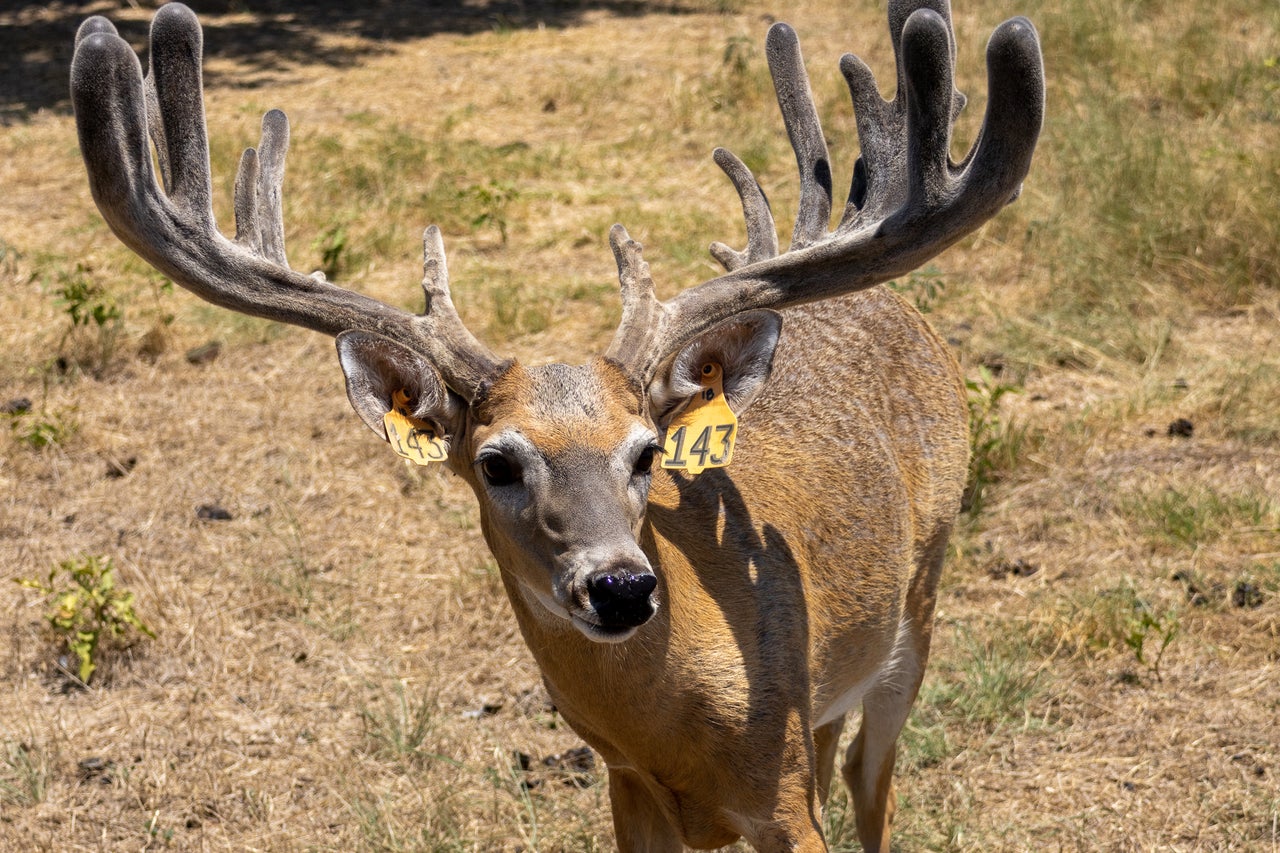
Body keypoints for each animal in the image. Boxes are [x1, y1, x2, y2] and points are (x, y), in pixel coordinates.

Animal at [70, 3, 1039, 845]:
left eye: (647, 453)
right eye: (497, 461)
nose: (620, 586)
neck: (686, 726)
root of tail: (900, 309)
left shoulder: (782, 801)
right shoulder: (628, 791)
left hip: (921, 592)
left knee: (874, 782)